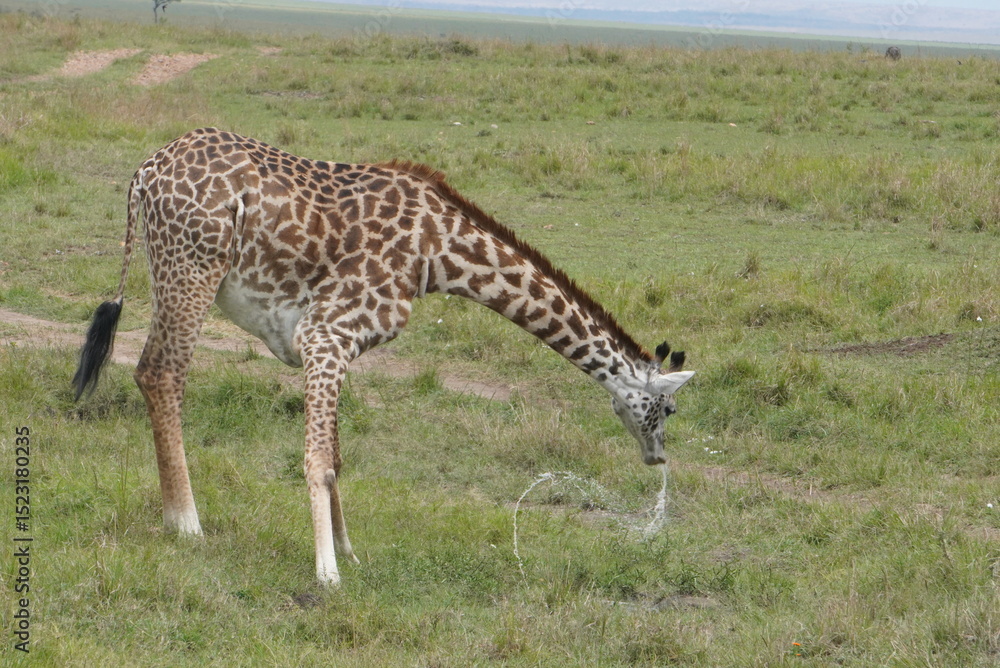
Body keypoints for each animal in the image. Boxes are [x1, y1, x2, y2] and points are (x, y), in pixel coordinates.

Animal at [74, 128, 695, 585]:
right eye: (667, 411)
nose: (658, 458)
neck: (438, 254)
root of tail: (145, 172)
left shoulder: (333, 346)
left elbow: (336, 457)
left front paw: (348, 552)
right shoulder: (327, 334)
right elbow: (318, 461)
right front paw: (327, 575)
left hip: (173, 269)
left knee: (154, 372)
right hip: (192, 268)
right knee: (160, 374)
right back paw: (186, 524)